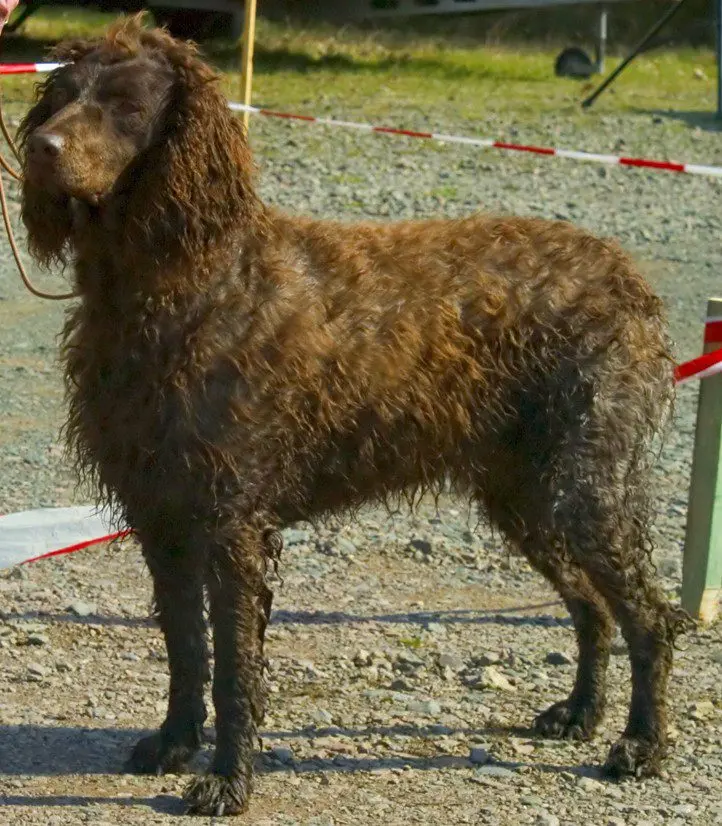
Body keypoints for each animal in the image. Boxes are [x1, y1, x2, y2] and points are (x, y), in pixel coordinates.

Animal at [19, 16, 688, 816]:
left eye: (125, 105)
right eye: (62, 92)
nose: (39, 147)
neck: (185, 283)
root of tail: (629, 279)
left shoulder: (232, 523)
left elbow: (234, 667)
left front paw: (227, 781)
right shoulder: (163, 516)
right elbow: (185, 648)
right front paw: (175, 745)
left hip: (585, 488)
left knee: (649, 618)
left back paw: (642, 745)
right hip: (528, 497)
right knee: (593, 608)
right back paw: (580, 714)